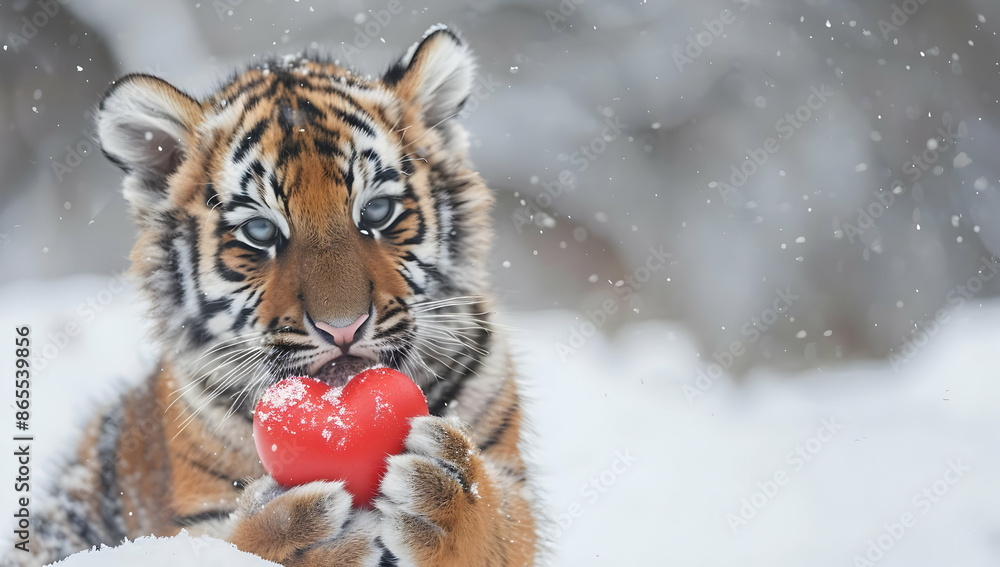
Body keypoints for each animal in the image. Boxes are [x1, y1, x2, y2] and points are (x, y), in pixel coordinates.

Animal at [4, 25, 542, 567]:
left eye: (378, 211)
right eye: (261, 231)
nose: (343, 327)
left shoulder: (511, 474)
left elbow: (502, 529)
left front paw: (445, 490)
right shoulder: (194, 513)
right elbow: (226, 543)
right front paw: (298, 531)